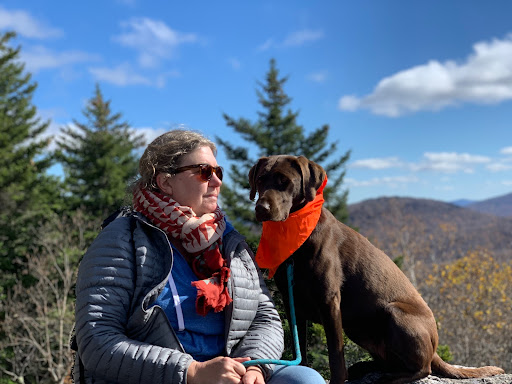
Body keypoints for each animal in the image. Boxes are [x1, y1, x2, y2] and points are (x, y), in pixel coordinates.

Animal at [248, 155, 504, 384]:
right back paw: (365, 368)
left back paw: (390, 377)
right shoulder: (294, 304)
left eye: (284, 181)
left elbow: (335, 356)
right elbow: (300, 351)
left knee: (424, 368)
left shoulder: (329, 301)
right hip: (358, 327)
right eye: (260, 180)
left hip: (394, 313)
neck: (296, 239)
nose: (261, 208)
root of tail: (434, 348)